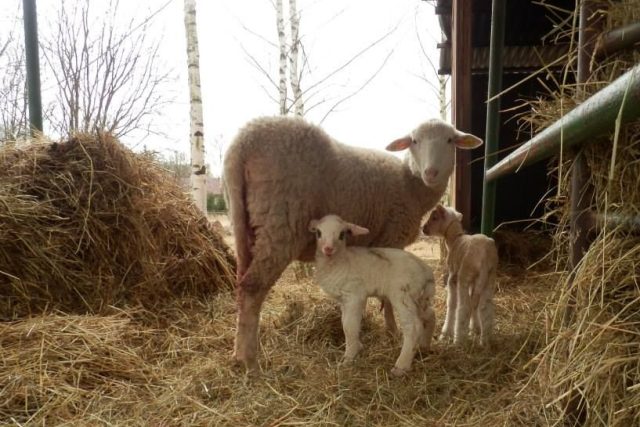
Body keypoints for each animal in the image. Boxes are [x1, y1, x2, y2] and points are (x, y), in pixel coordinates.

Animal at [308, 216, 438, 376]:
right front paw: (357, 346)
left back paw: (401, 366)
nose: (328, 249)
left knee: (413, 326)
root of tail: (427, 272)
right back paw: (425, 346)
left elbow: (349, 326)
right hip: (419, 298)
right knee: (430, 315)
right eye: (318, 233)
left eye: (342, 234)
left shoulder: (355, 295)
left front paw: (349, 358)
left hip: (402, 295)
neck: (340, 260)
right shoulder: (344, 300)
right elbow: (345, 322)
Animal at [422, 205, 498, 348]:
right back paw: (485, 341)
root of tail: (484, 256)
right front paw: (474, 329)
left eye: (434, 217)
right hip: (489, 278)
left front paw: (446, 333)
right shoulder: (474, 281)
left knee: (464, 307)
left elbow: (451, 303)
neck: (455, 239)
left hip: (464, 275)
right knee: (485, 308)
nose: (423, 229)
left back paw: (458, 340)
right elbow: (475, 304)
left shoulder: (452, 277)